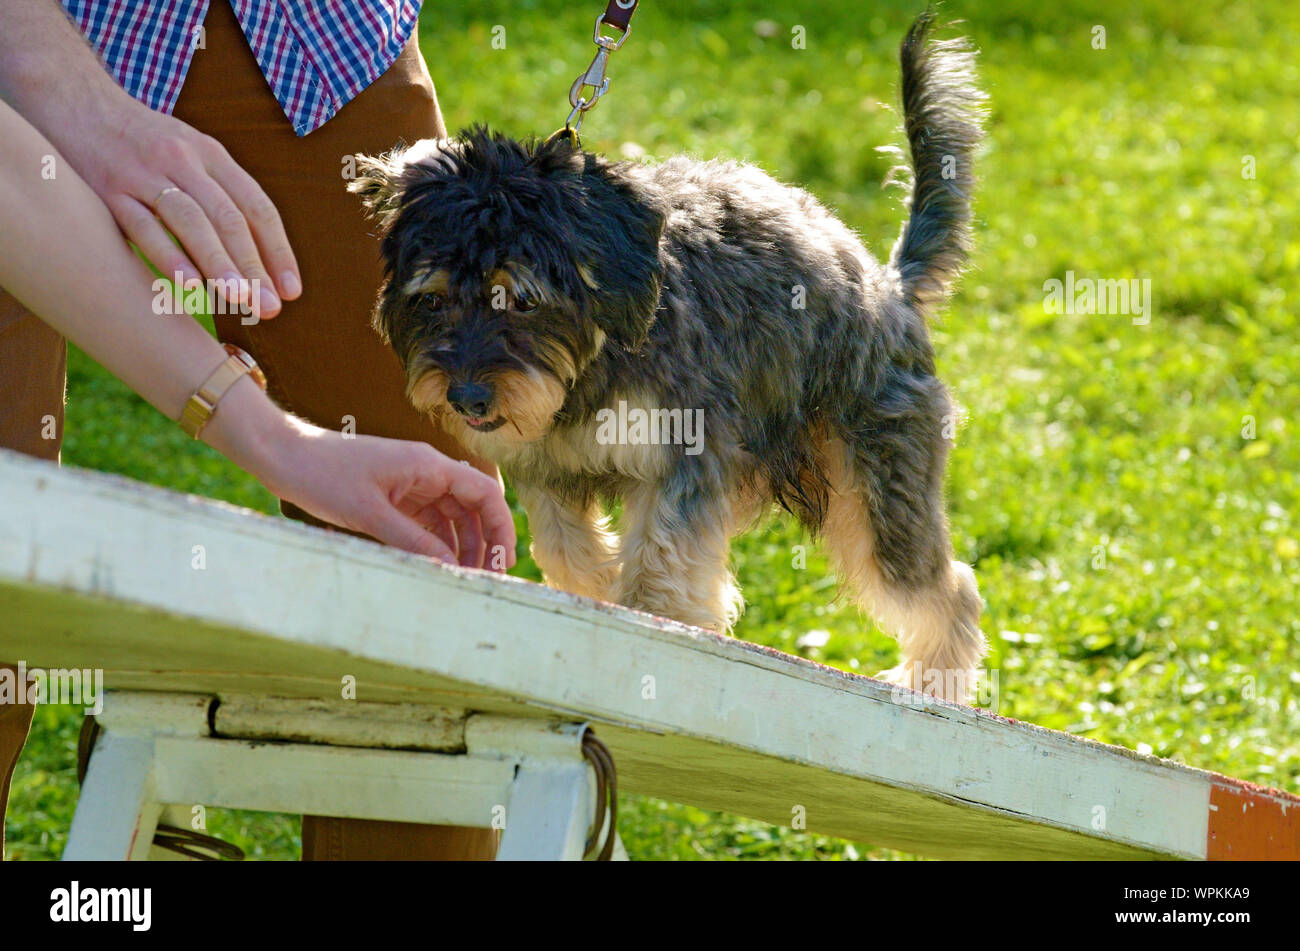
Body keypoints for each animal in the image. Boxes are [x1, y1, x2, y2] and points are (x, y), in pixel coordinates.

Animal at [353, 11, 982, 701]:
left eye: (520, 299)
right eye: (432, 298)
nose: (465, 397)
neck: (593, 364)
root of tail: (891, 286)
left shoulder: (686, 457)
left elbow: (662, 565)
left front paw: (653, 623)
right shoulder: (547, 469)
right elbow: (568, 554)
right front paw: (602, 592)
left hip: (878, 487)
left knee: (950, 589)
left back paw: (935, 686)